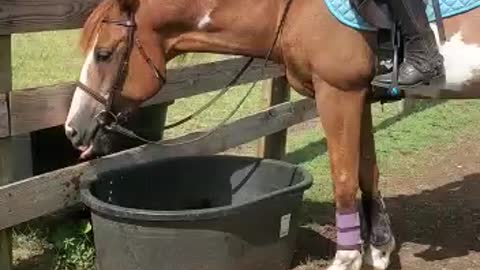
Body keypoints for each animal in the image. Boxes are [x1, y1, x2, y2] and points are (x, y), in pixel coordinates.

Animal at [63, 0, 480, 268]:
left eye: (104, 54)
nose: (73, 127)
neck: (294, 10)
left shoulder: (338, 94)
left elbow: (344, 181)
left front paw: (346, 258)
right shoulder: (358, 96)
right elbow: (367, 174)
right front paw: (378, 250)